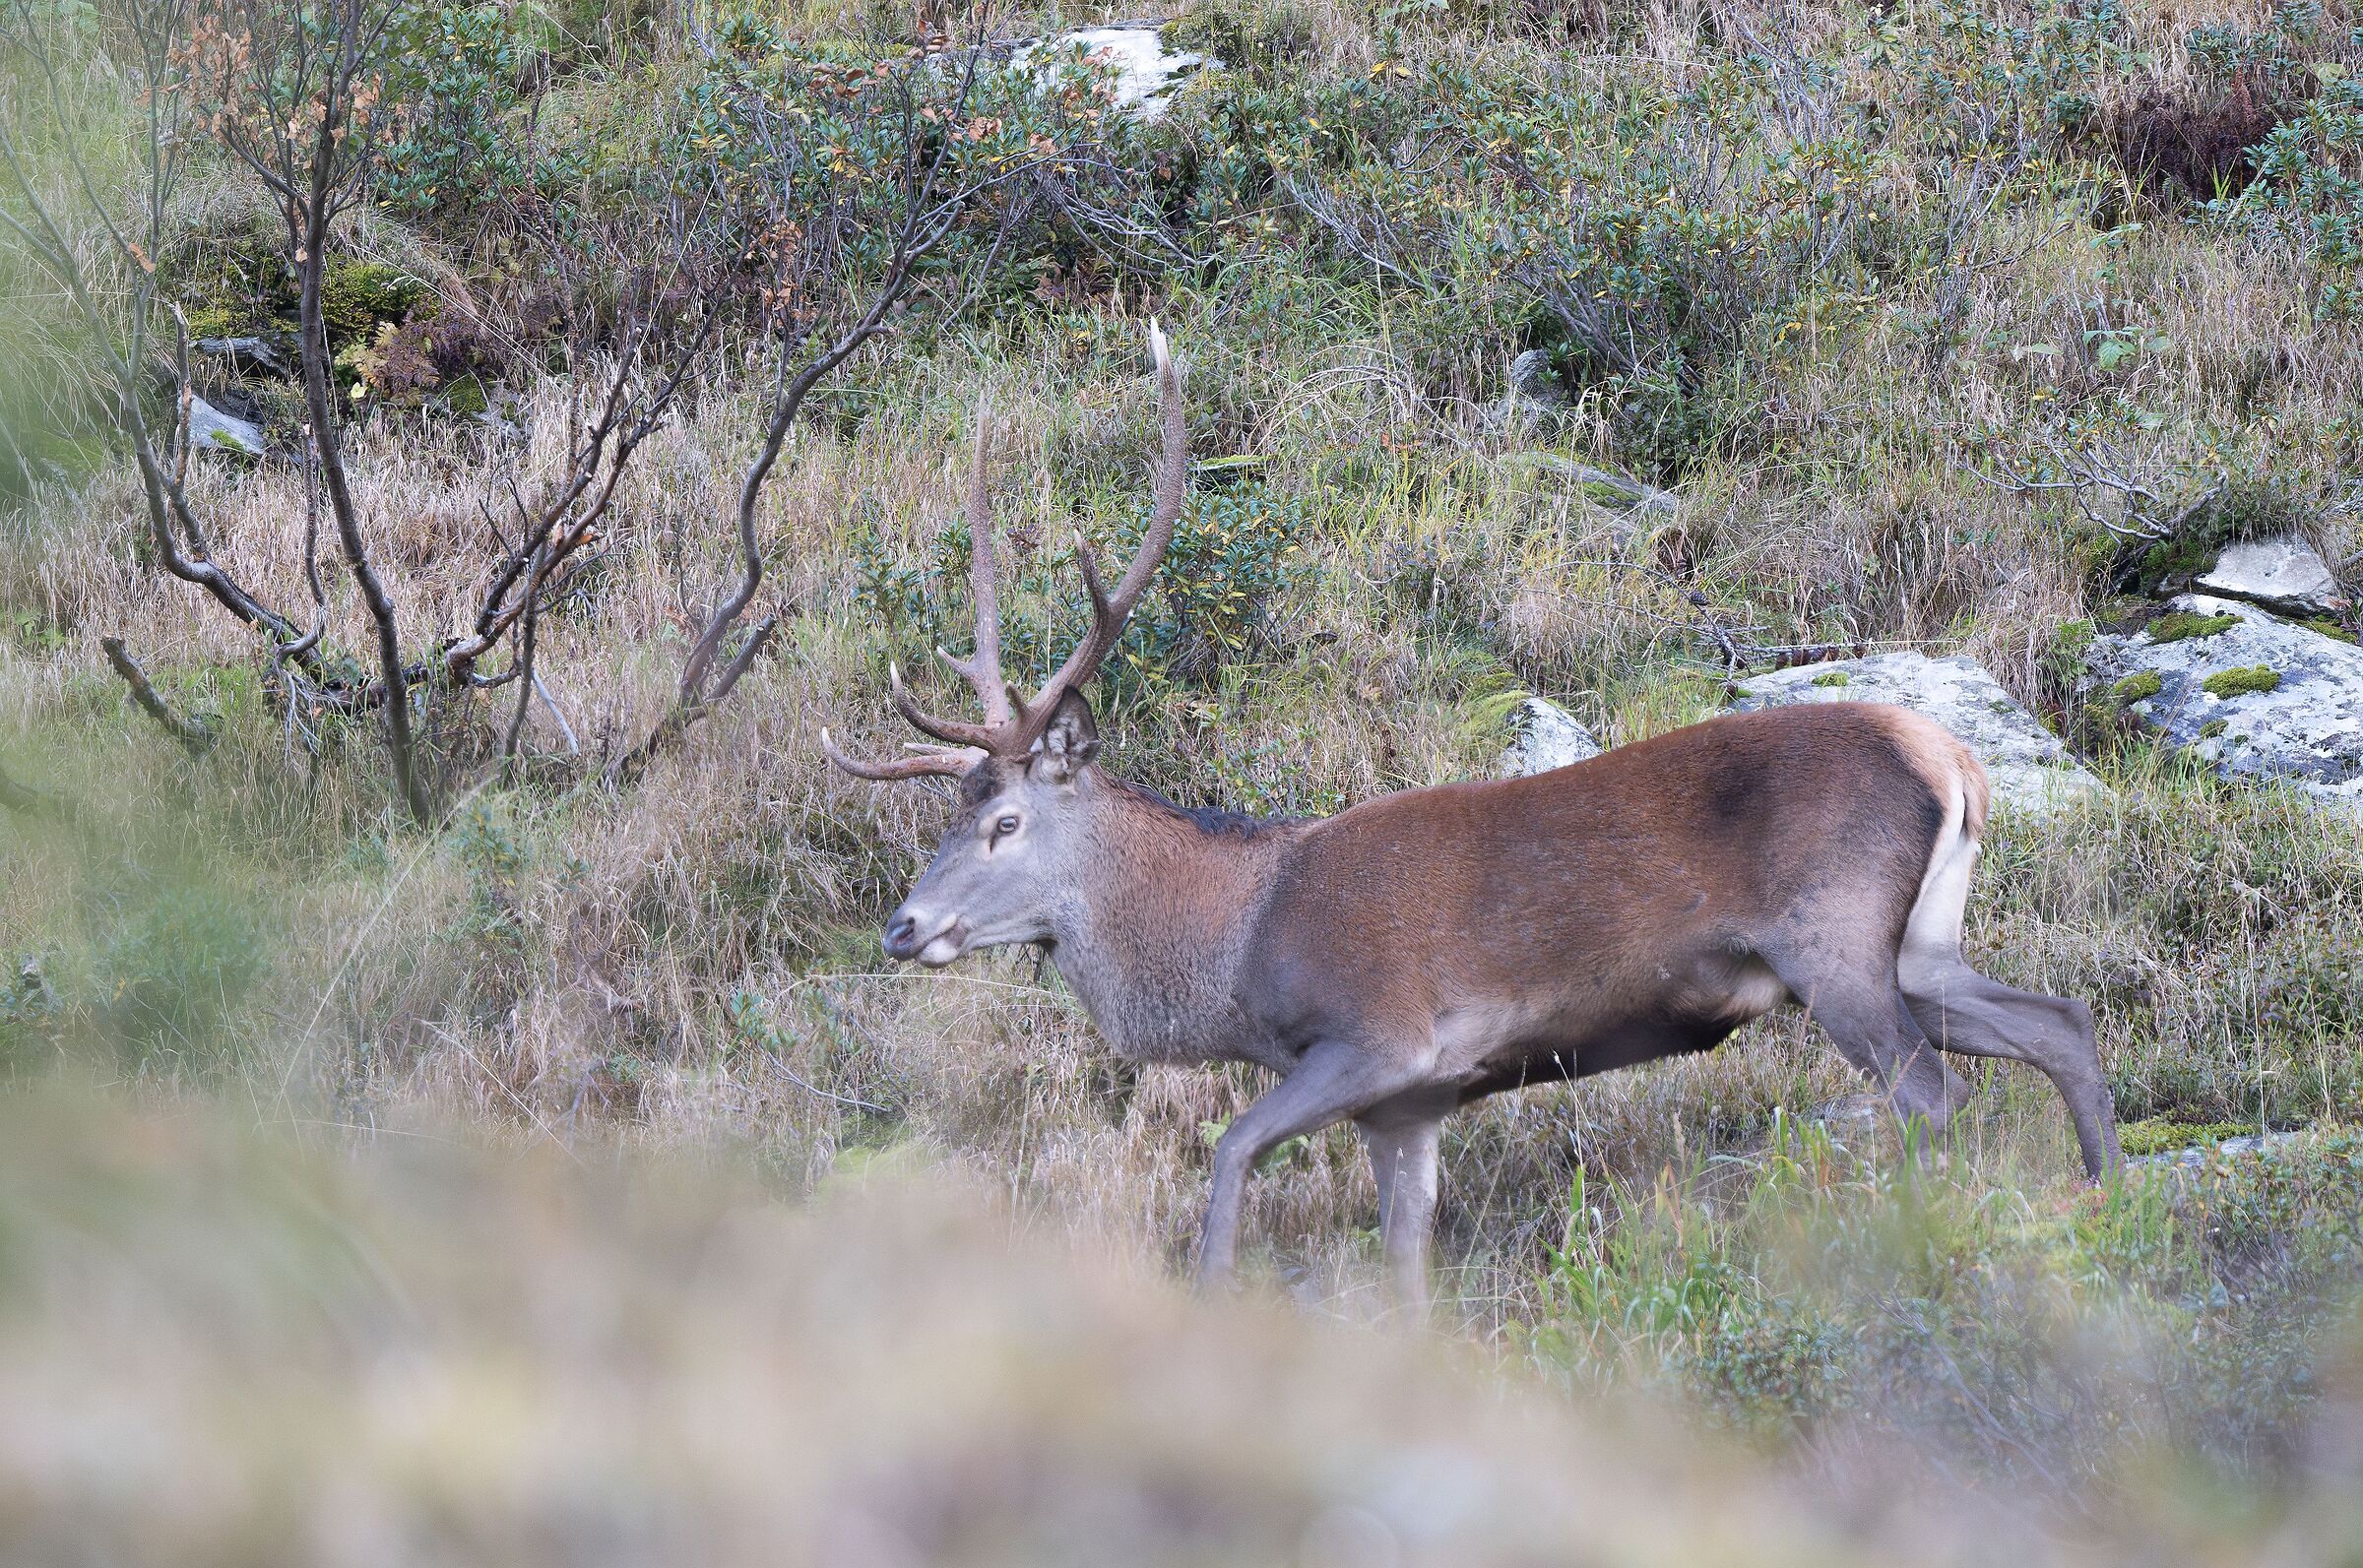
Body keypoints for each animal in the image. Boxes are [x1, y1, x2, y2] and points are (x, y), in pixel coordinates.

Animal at [822, 323, 2123, 1313]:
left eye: (1003, 823)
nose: (900, 927)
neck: (1239, 944)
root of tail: (1957, 761)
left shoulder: (1377, 1037)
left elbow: (1230, 1149)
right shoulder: (1410, 1105)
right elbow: (1406, 1256)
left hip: (1832, 937)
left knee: (1929, 1094)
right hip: (1921, 943)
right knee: (2060, 1021)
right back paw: (2110, 1201)